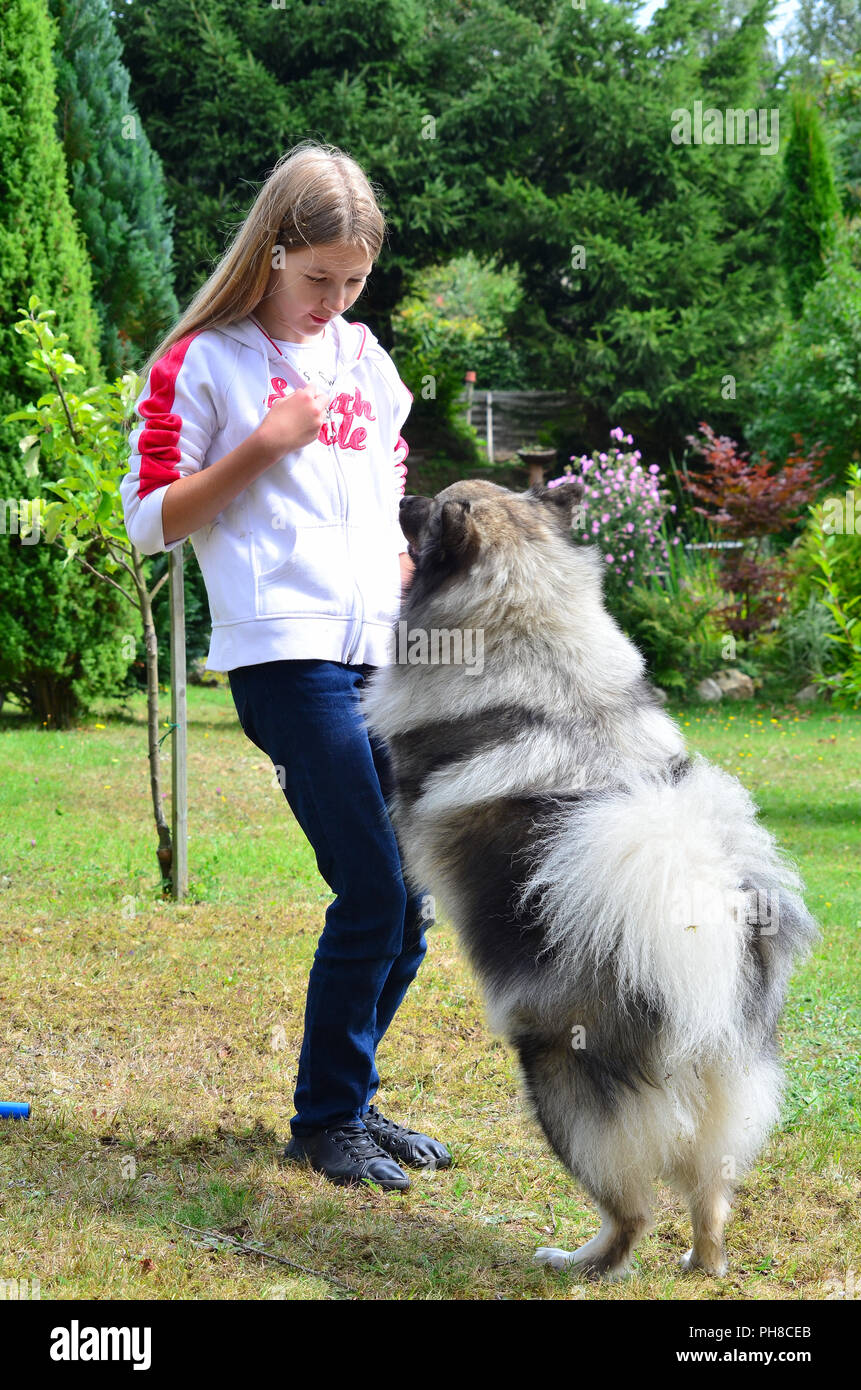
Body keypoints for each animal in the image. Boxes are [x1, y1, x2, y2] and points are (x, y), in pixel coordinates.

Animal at [358, 475, 823, 1278]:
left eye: (430, 509)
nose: (405, 493)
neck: (530, 622)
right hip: (724, 1096)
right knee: (710, 1193)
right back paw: (700, 1264)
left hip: (555, 1081)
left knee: (631, 1208)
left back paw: (577, 1262)